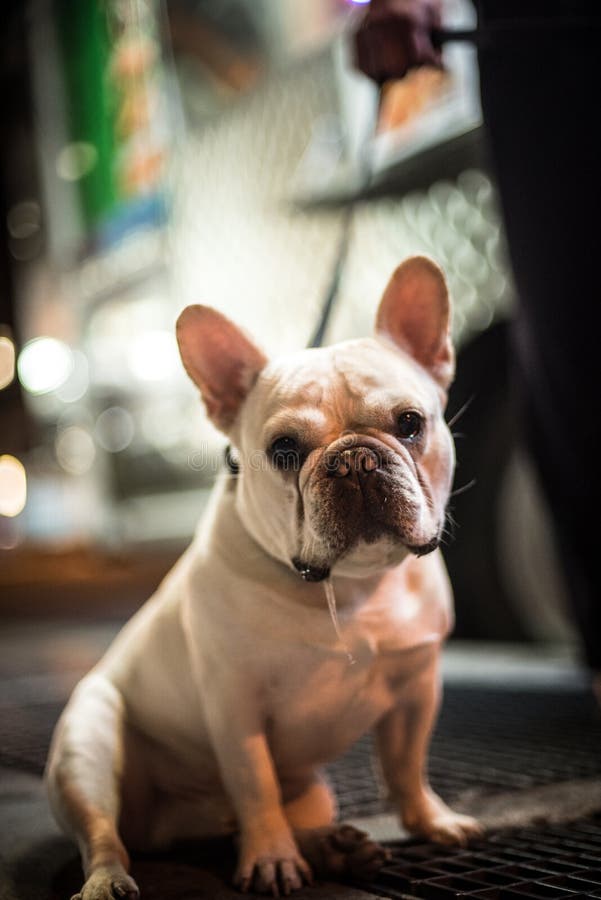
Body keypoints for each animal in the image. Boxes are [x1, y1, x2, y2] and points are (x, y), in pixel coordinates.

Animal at [45, 256, 478, 896]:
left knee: (266, 821)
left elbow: (406, 764)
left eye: (409, 423)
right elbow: (256, 788)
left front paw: (430, 819)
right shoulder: (236, 708)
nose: (355, 459)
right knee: (105, 834)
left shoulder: (416, 690)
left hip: (316, 792)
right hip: (87, 746)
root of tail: (178, 827)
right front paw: (271, 857)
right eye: (284, 450)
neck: (348, 586)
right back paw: (109, 880)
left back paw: (334, 849)